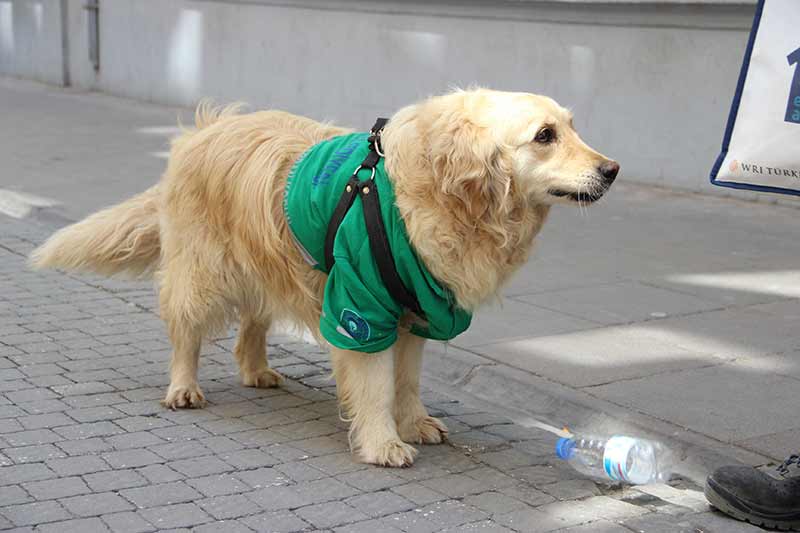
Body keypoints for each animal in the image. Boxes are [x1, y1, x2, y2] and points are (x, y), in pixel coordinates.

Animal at [31, 88, 620, 466]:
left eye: (572, 126)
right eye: (544, 136)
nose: (612, 169)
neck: (443, 188)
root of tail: (204, 128)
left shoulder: (415, 311)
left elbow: (407, 381)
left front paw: (414, 422)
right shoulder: (362, 307)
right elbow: (376, 385)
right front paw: (383, 443)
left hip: (269, 266)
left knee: (251, 326)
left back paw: (257, 370)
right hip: (201, 272)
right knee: (186, 332)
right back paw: (183, 387)